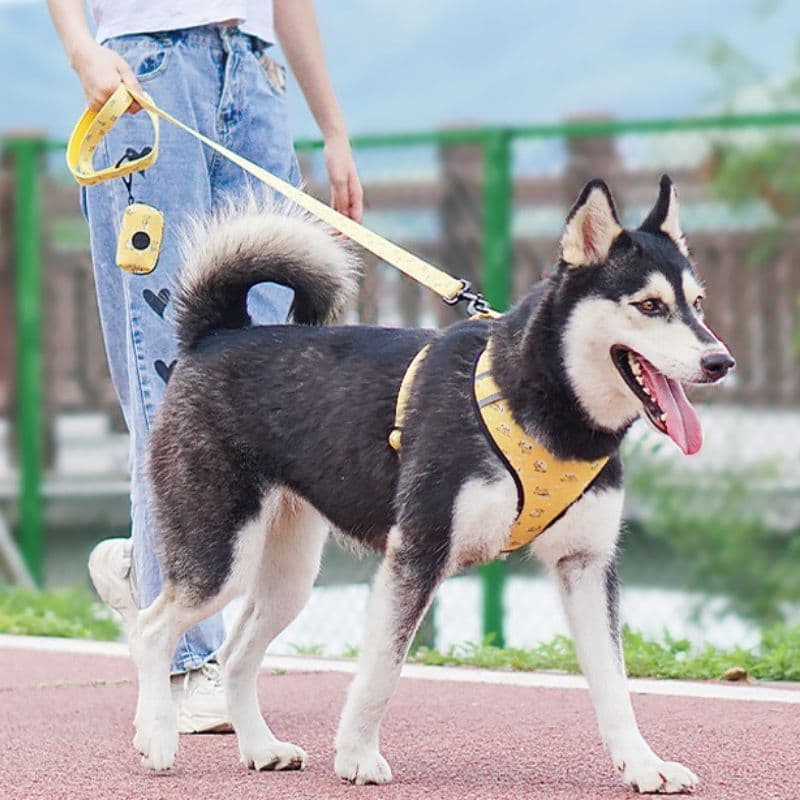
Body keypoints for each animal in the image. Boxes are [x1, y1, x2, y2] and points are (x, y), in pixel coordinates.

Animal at [134, 177, 736, 792]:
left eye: (698, 304)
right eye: (650, 306)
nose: (721, 361)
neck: (541, 403)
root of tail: (216, 336)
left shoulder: (586, 564)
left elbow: (615, 685)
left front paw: (642, 764)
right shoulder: (418, 552)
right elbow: (382, 669)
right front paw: (356, 755)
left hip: (289, 578)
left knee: (236, 654)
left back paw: (259, 746)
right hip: (219, 558)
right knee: (150, 628)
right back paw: (156, 736)